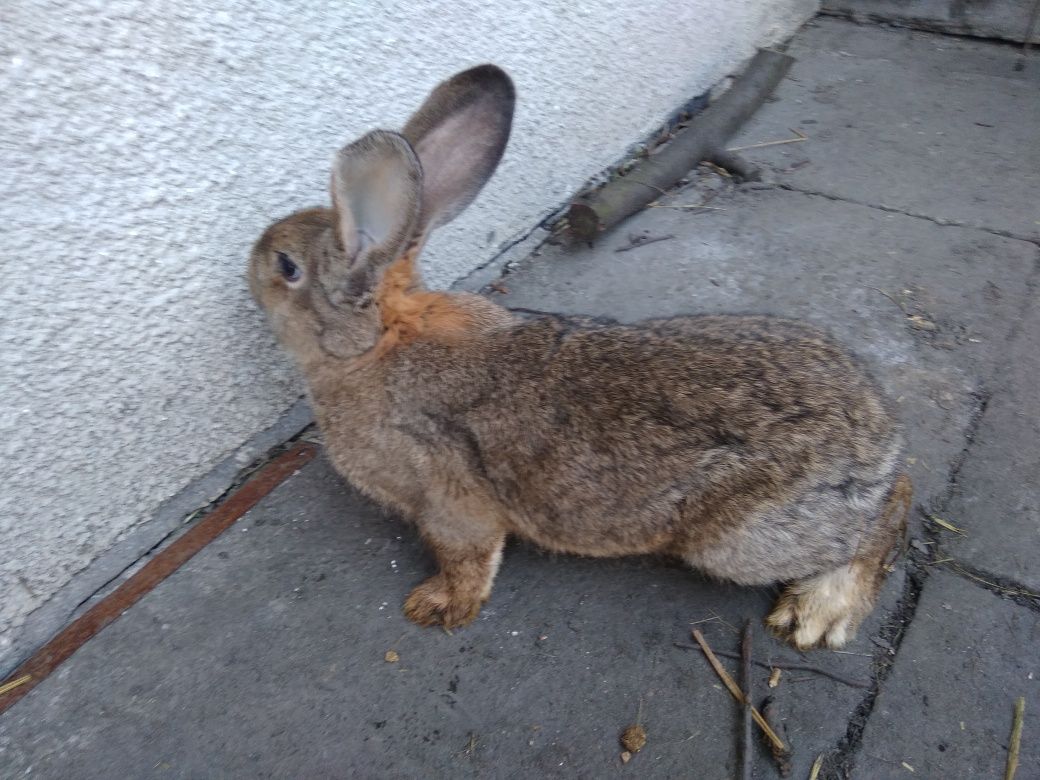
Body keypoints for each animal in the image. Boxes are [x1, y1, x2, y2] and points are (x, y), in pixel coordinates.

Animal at [249, 64, 911, 653]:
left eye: (286, 267)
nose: (250, 267)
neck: (374, 343)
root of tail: (881, 440)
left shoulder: (448, 500)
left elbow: (466, 556)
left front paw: (437, 606)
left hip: (738, 540)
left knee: (881, 519)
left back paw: (820, 611)